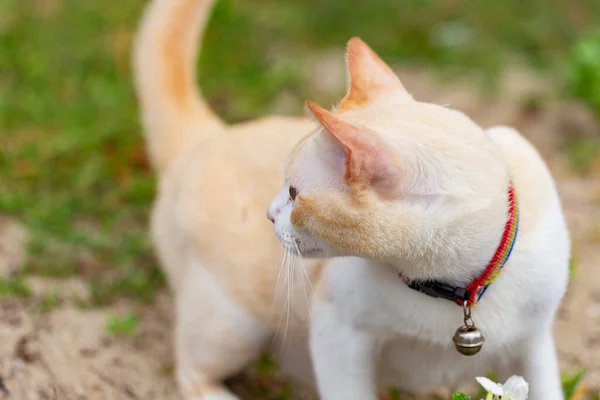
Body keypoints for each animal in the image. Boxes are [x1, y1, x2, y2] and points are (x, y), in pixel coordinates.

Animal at [134, 0, 568, 400]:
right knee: (190, 368)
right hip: (233, 323)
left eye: (293, 194)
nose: (269, 214)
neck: (455, 285)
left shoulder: (535, 343)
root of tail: (211, 135)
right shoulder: (337, 332)